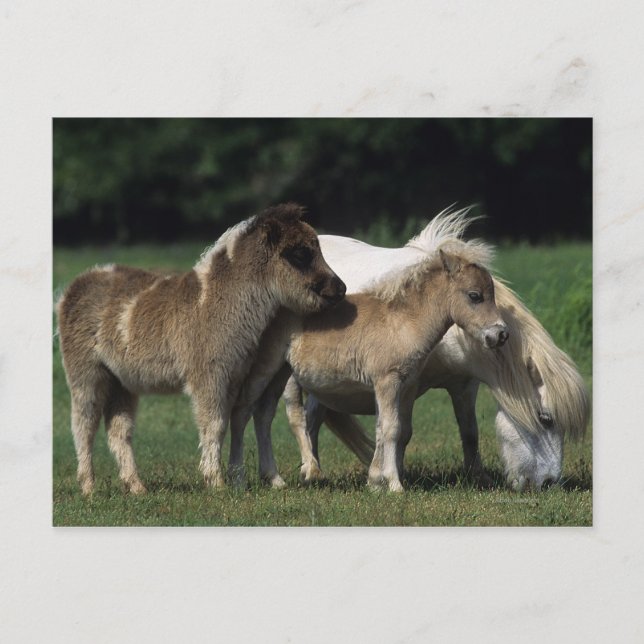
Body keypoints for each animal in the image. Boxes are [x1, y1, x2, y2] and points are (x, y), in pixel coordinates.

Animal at [56, 203, 346, 495]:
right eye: (300, 254)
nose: (341, 288)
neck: (216, 302)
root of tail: (72, 288)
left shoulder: (233, 377)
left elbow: (227, 421)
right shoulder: (208, 376)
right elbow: (214, 424)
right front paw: (215, 482)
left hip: (122, 382)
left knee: (119, 430)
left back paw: (136, 487)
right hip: (86, 372)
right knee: (83, 425)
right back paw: (89, 488)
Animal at [229, 214, 508, 492]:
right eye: (475, 296)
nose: (500, 334)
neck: (401, 322)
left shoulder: (402, 385)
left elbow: (385, 429)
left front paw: (375, 482)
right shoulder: (387, 381)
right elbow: (392, 429)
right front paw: (394, 485)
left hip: (281, 374)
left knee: (264, 414)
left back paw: (275, 478)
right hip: (269, 370)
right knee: (251, 411)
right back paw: (245, 476)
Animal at [283, 209, 590, 491]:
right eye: (546, 419)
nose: (549, 483)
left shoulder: (464, 385)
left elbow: (469, 431)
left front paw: (478, 477)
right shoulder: (403, 384)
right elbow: (398, 431)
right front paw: (390, 478)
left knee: (313, 418)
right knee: (304, 418)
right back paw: (311, 471)